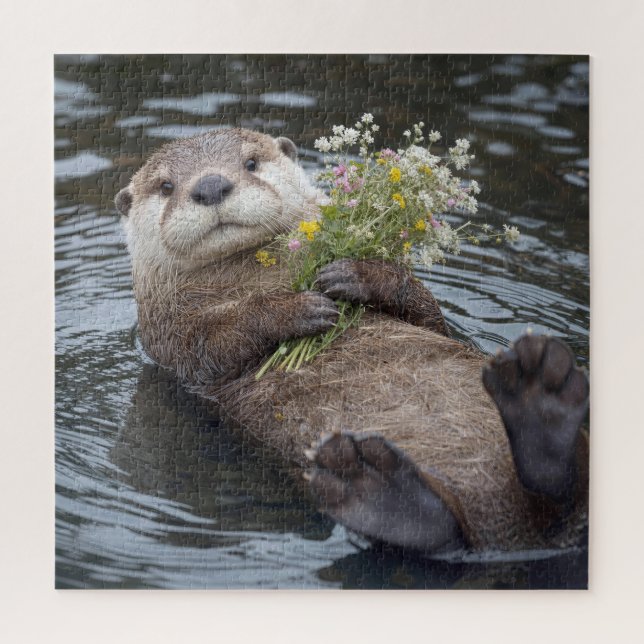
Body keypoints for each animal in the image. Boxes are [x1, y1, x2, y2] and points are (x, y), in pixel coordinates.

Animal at [116, 128, 589, 554]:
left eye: (250, 163)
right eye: (166, 186)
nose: (211, 185)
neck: (257, 272)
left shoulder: (433, 320)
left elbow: (428, 312)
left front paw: (353, 274)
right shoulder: (166, 334)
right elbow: (212, 343)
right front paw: (297, 309)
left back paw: (537, 392)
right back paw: (372, 482)